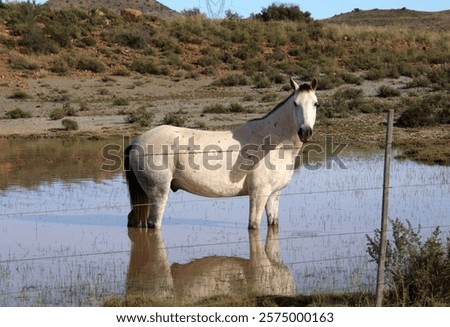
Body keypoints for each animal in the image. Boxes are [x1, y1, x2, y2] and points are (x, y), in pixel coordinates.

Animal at [125, 78, 318, 229]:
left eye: (316, 104)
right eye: (295, 103)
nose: (305, 132)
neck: (273, 145)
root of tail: (137, 142)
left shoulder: (273, 195)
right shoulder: (258, 195)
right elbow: (253, 226)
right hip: (158, 193)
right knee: (153, 223)